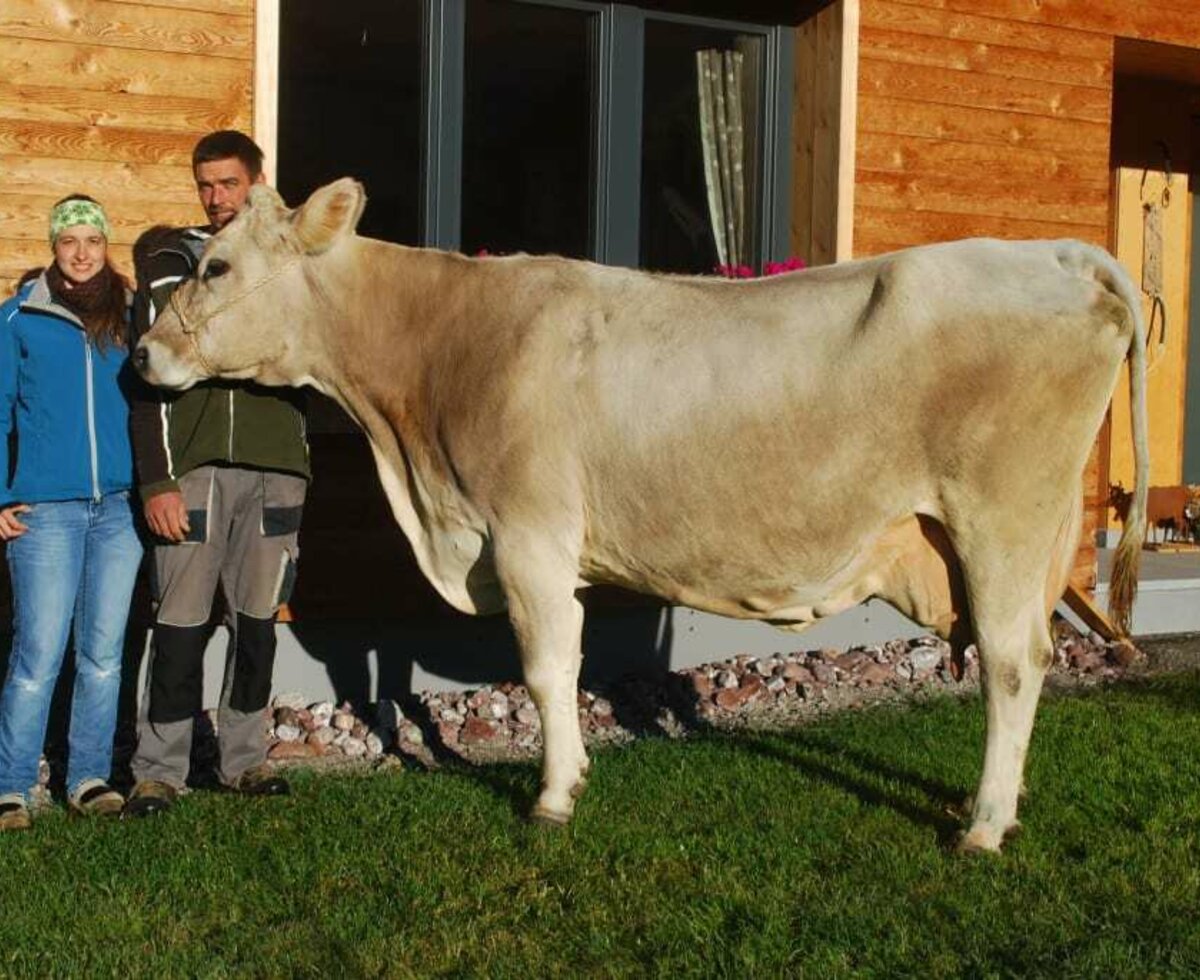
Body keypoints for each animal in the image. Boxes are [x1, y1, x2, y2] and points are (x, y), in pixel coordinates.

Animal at [133, 179, 1152, 854]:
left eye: (215, 263)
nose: (141, 353)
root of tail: (1055, 252)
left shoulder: (529, 534)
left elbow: (548, 669)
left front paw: (553, 797)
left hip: (1001, 519)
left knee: (1014, 665)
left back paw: (982, 826)